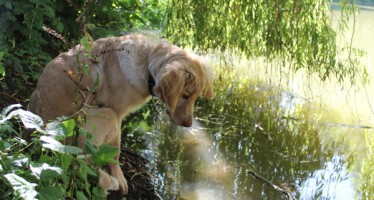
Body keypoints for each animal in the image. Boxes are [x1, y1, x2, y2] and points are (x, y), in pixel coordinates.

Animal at [28, 34, 215, 194]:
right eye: (185, 96)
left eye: (195, 97)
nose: (188, 124)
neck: (147, 64)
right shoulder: (116, 113)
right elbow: (115, 150)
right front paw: (118, 175)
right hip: (104, 115)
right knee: (82, 160)